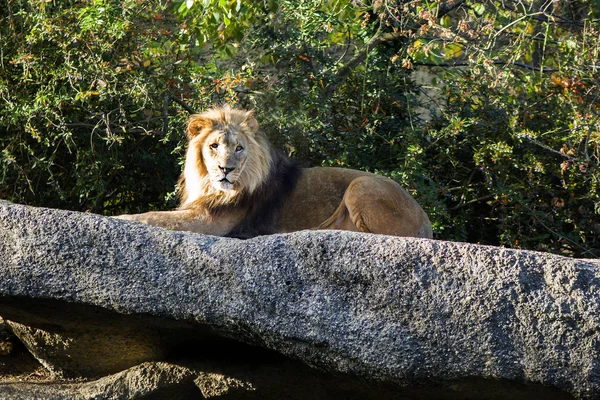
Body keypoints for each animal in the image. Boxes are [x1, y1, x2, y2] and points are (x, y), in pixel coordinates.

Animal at [113, 104, 432, 239]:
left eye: (239, 148)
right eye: (214, 146)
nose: (225, 169)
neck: (210, 184)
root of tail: (426, 223)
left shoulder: (210, 221)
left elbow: (152, 216)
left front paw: (114, 218)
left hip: (361, 185)